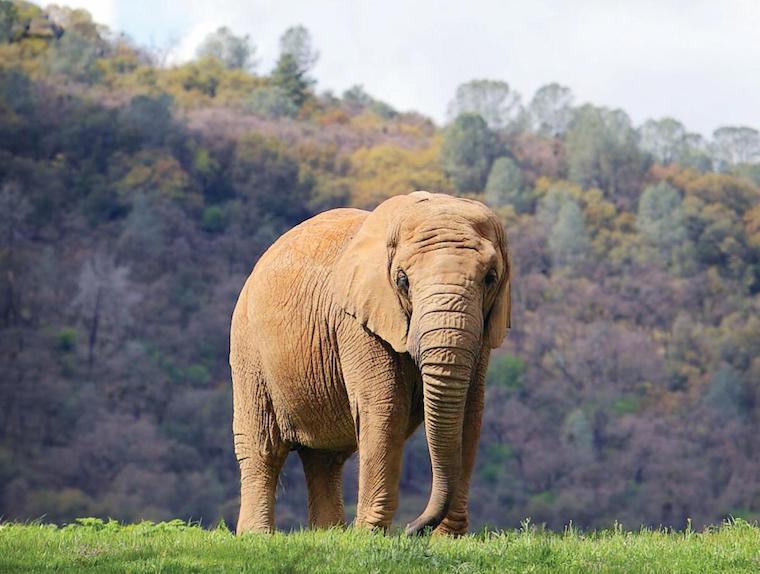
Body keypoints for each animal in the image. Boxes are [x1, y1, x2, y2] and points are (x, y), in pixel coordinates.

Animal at [230, 191, 511, 536]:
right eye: (402, 280)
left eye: (490, 278)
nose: (412, 529)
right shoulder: (356, 321)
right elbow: (385, 406)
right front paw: (369, 535)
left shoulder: (483, 325)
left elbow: (470, 412)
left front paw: (448, 540)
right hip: (247, 347)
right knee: (262, 447)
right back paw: (256, 536)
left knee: (324, 458)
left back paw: (328, 535)